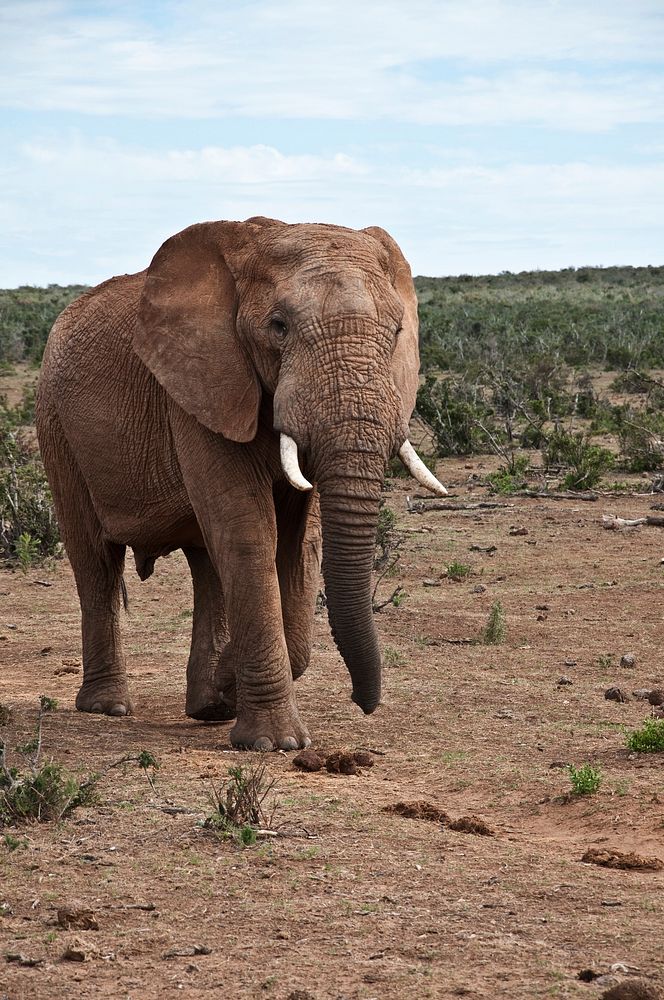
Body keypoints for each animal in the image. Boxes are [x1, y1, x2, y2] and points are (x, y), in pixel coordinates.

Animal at [35, 217, 446, 752]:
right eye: (278, 326)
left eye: (397, 332)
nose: (364, 703)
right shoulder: (203, 384)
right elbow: (249, 532)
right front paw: (276, 744)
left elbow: (299, 540)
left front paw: (227, 687)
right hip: (56, 426)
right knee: (95, 561)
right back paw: (109, 707)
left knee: (206, 562)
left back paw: (207, 706)